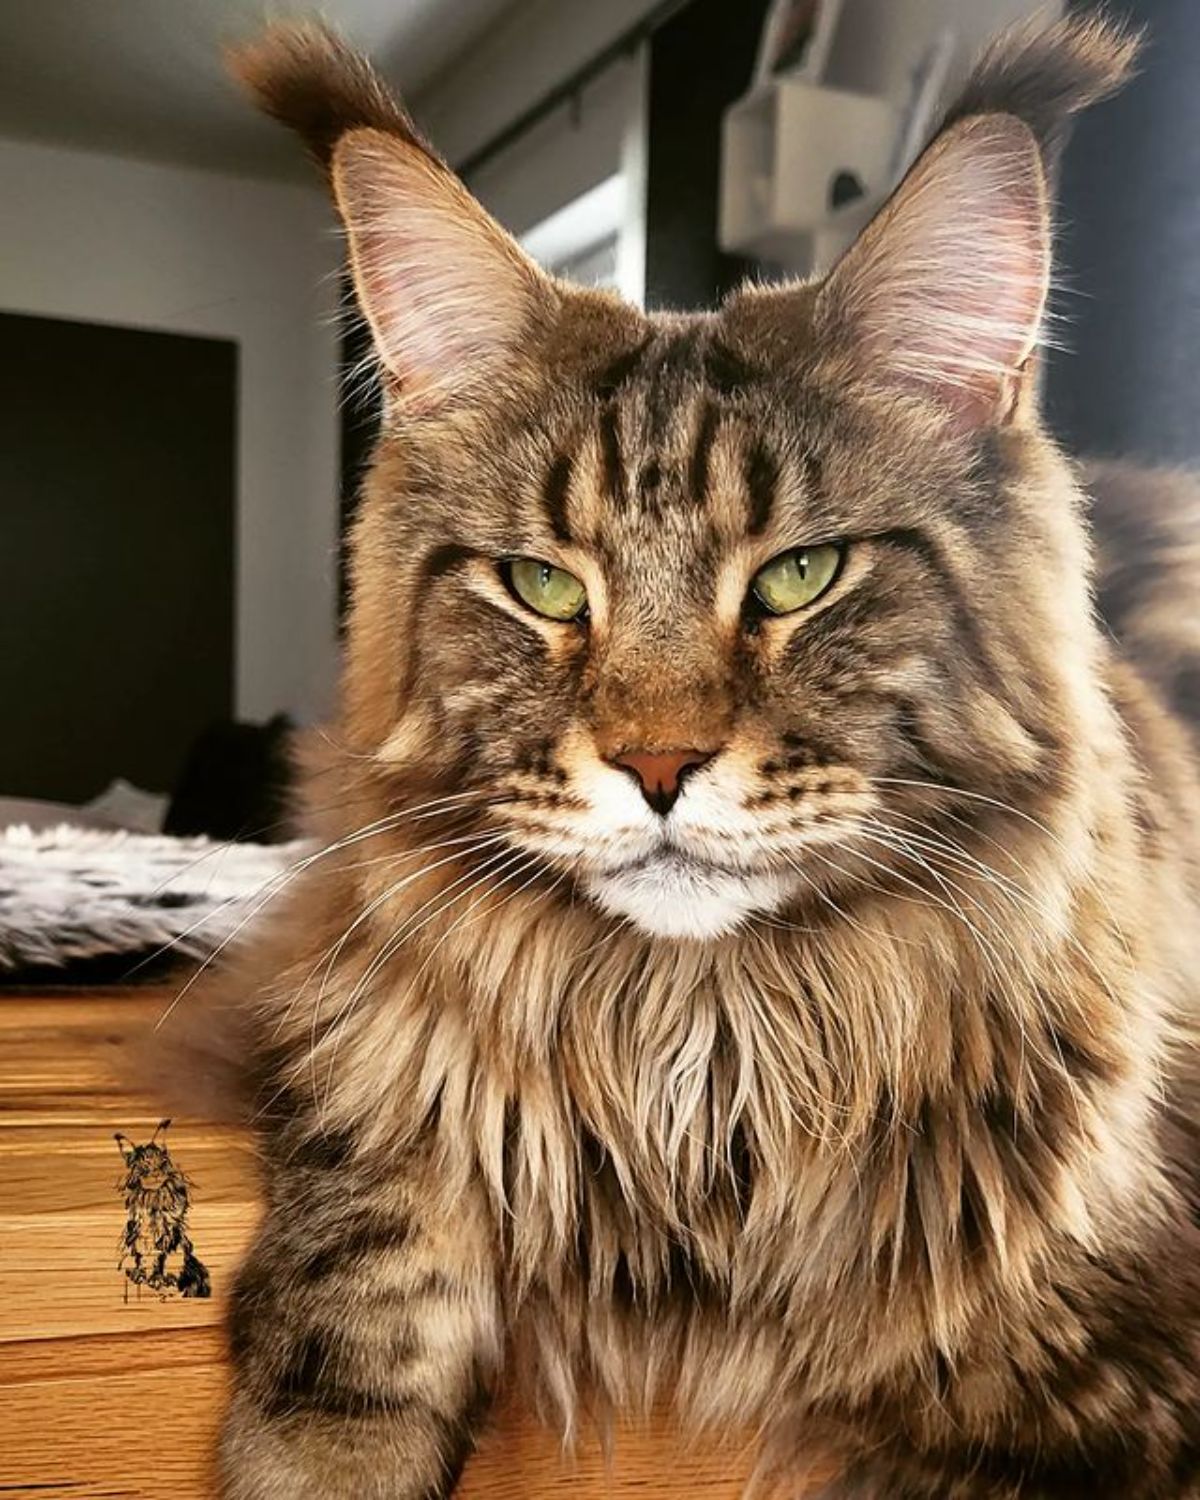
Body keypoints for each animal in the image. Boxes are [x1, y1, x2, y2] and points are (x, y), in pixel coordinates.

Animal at [195, 14, 1200, 1500]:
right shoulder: (342, 994)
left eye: (799, 576)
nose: (657, 767)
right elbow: (374, 1212)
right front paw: (323, 1451)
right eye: (544, 587)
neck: (706, 1047)